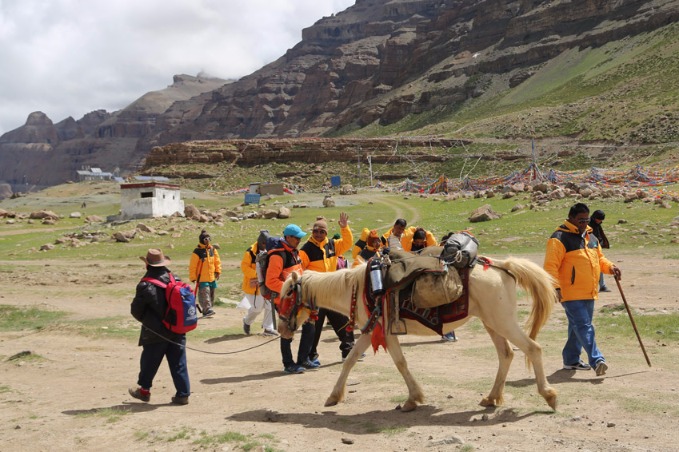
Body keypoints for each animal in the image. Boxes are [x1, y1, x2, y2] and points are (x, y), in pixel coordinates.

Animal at [278, 254, 558, 412]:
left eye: (288, 294)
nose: (281, 329)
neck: (357, 287)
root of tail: (502, 266)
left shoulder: (384, 331)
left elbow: (400, 363)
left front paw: (414, 399)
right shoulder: (370, 332)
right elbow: (350, 360)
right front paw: (334, 396)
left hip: (502, 321)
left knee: (533, 348)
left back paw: (549, 395)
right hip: (493, 323)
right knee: (506, 355)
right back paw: (492, 398)